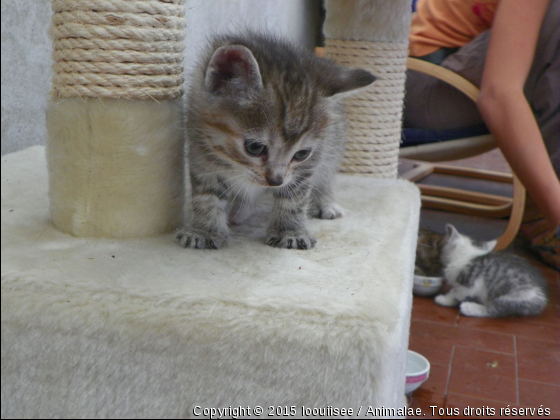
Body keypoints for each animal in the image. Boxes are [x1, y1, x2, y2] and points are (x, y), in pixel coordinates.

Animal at [175, 33, 376, 249]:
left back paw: (325, 202)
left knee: (326, 175)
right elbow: (207, 196)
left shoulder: (309, 163)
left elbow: (294, 197)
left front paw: (290, 231)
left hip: (333, 144)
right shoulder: (201, 154)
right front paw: (204, 230)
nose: (276, 181)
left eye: (302, 154)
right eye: (254, 148)